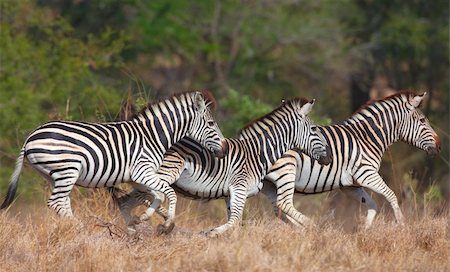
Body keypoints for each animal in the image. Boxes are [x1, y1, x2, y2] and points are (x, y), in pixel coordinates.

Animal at [0, 90, 225, 233]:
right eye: (211, 123)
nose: (223, 149)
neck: (153, 136)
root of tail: (30, 137)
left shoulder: (139, 177)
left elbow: (155, 195)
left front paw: (143, 218)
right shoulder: (142, 171)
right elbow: (167, 192)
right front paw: (167, 224)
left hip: (54, 175)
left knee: (62, 202)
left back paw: (73, 227)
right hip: (68, 169)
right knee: (56, 202)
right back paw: (80, 228)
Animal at [116, 98, 334, 236]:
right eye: (315, 129)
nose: (330, 157)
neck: (258, 153)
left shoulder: (232, 193)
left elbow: (235, 222)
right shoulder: (239, 187)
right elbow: (236, 220)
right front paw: (211, 233)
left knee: (127, 199)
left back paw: (134, 226)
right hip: (164, 172)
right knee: (138, 197)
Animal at [260, 91, 440, 227]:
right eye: (422, 121)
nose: (439, 146)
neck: (366, 138)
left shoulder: (351, 186)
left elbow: (372, 205)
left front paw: (365, 232)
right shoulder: (366, 174)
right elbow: (391, 195)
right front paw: (401, 224)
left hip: (268, 183)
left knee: (278, 209)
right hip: (286, 172)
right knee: (283, 203)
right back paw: (309, 226)